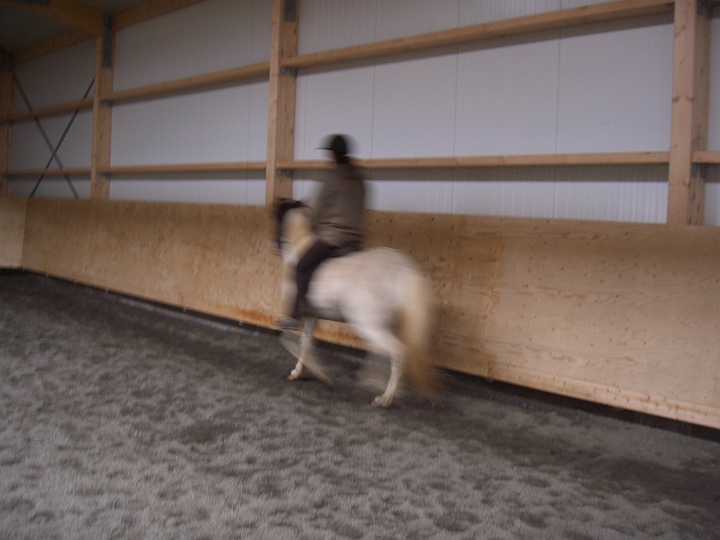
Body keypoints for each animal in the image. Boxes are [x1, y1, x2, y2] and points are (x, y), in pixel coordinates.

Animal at [274, 200, 438, 408]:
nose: (275, 244)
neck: (300, 245)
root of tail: (400, 268)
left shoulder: (305, 313)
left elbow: (301, 341)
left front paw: (305, 372)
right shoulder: (313, 315)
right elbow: (307, 342)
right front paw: (304, 372)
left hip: (368, 323)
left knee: (396, 353)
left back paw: (384, 398)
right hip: (385, 324)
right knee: (386, 352)